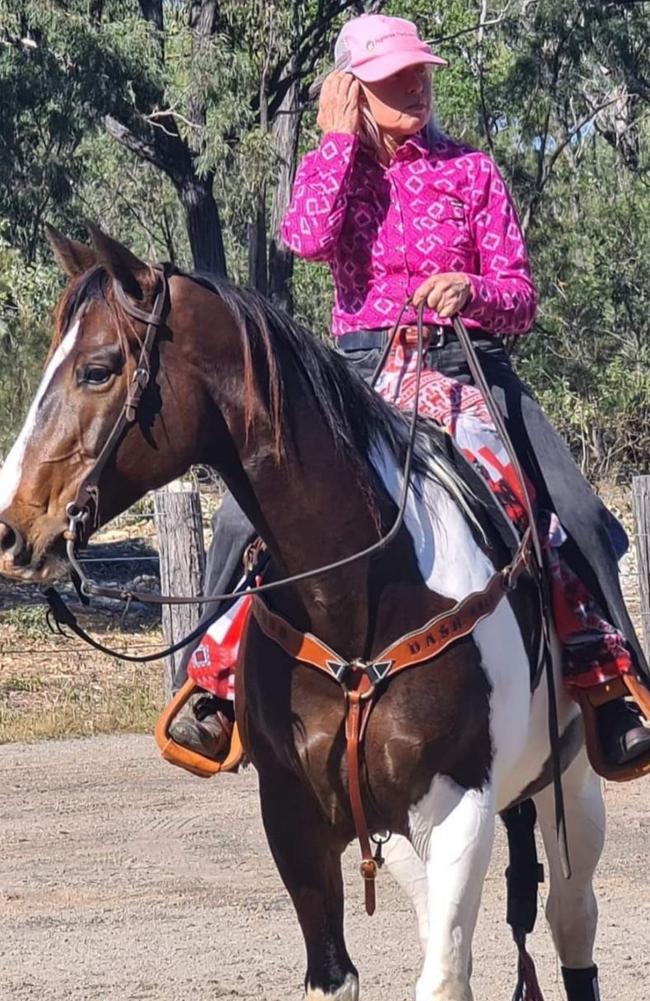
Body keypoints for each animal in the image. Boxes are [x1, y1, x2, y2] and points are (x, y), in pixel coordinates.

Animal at [0, 227, 604, 1001]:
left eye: (98, 370)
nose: (13, 529)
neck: (355, 601)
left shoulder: (459, 806)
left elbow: (445, 973)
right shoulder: (293, 816)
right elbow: (336, 971)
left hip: (572, 785)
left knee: (569, 916)